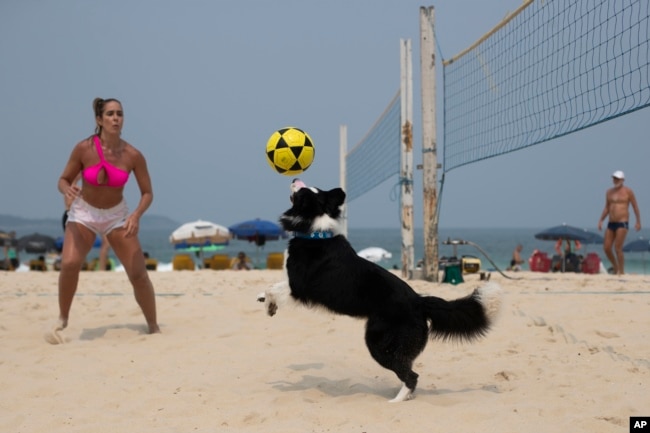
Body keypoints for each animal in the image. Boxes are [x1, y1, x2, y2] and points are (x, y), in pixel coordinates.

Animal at [256, 179, 498, 402]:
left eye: (302, 192)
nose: (295, 179)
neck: (316, 231)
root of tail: (419, 301)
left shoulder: (299, 286)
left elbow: (273, 289)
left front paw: (269, 306)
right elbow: (270, 287)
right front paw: (264, 300)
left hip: (379, 342)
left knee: (412, 375)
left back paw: (396, 401)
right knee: (409, 370)